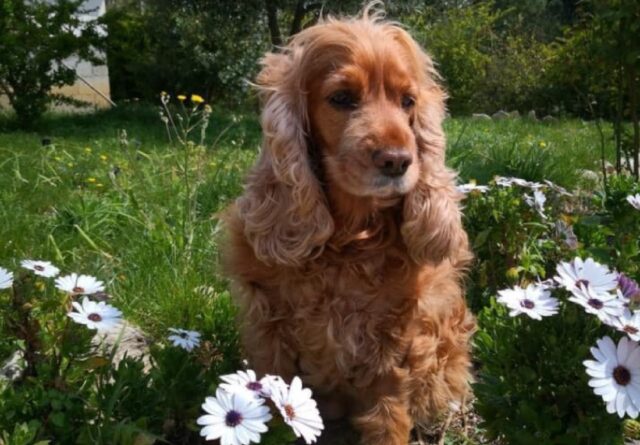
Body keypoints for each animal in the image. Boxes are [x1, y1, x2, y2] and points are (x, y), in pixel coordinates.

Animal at [224, 4, 476, 444]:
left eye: (408, 101)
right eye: (341, 98)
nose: (397, 160)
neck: (349, 239)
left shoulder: (395, 338)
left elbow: (388, 416)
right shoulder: (269, 326)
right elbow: (272, 401)